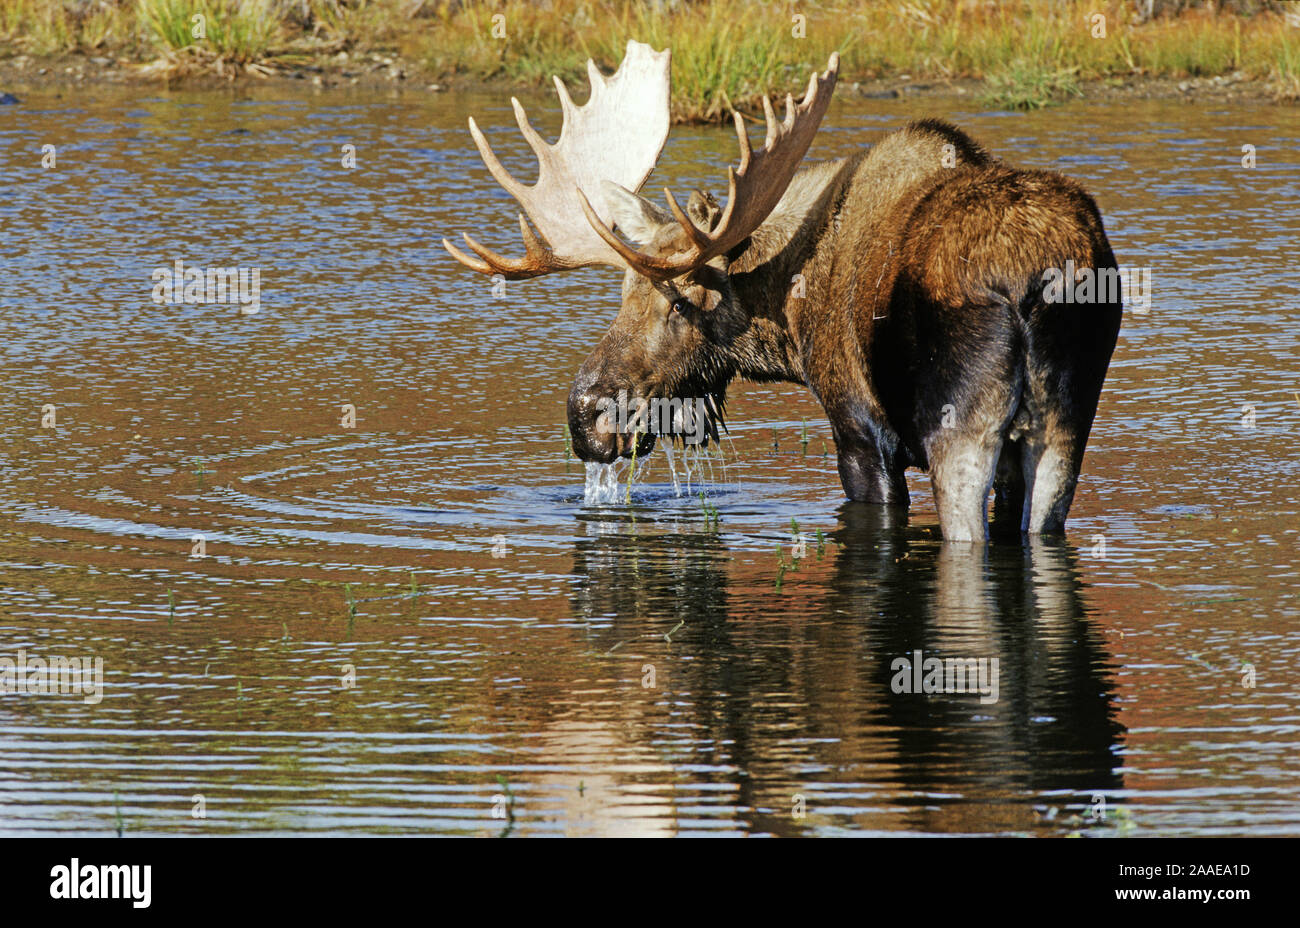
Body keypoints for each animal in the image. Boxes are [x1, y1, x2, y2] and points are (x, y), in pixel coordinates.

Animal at [441, 41, 1123, 543]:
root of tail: (1031, 278)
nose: (584, 417)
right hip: (1067, 420)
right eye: (624, 292)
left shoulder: (860, 429)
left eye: (678, 301)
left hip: (961, 425)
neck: (789, 317)